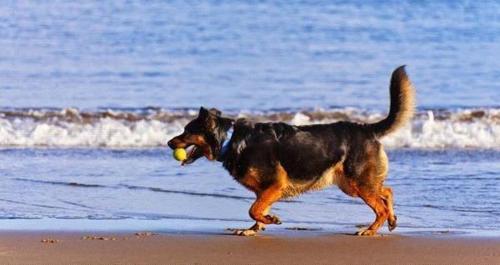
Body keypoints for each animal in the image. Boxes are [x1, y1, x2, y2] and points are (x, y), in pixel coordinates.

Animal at [168, 66, 414, 235]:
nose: (169, 143)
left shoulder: (274, 186)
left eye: (187, 131)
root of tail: (366, 129)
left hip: (357, 183)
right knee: (387, 191)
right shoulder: (265, 190)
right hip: (351, 185)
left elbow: (254, 209)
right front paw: (254, 229)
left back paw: (371, 230)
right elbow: (257, 209)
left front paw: (269, 220)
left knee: (380, 205)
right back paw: (391, 220)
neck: (231, 140)